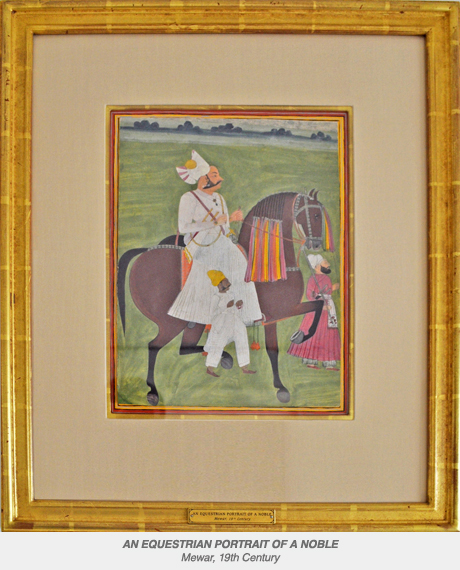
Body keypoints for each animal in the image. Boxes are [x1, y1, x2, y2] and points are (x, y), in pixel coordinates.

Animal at [117, 189, 334, 405]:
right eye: (316, 215)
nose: (316, 245)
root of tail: (146, 251)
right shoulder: (281, 312)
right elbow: (281, 341)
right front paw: (284, 381)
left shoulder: (278, 315)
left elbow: (314, 308)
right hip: (172, 323)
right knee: (154, 346)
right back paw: (153, 392)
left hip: (192, 324)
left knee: (184, 347)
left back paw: (223, 357)